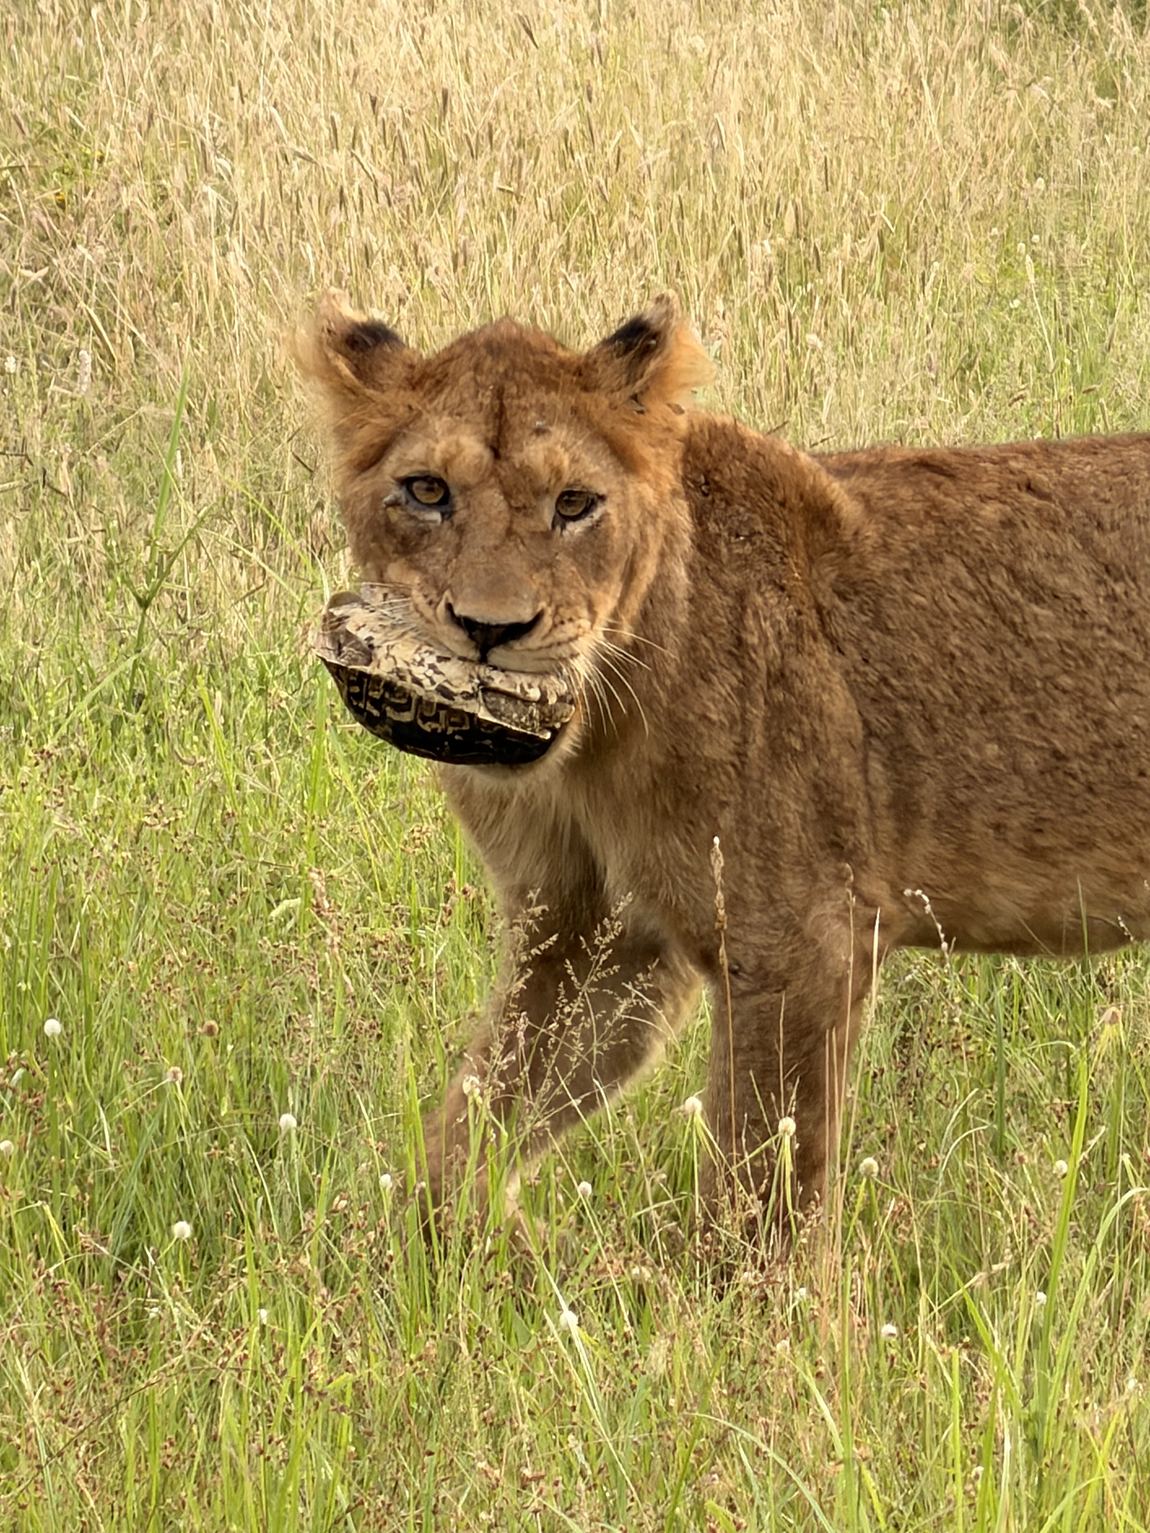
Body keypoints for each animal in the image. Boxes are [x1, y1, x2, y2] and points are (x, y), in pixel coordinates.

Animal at [296, 290, 1150, 1251]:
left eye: (575, 503)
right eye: (427, 491)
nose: (491, 630)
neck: (592, 747)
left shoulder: (799, 935)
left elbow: (757, 1203)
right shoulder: (592, 934)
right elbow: (472, 1125)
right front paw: (438, 1259)